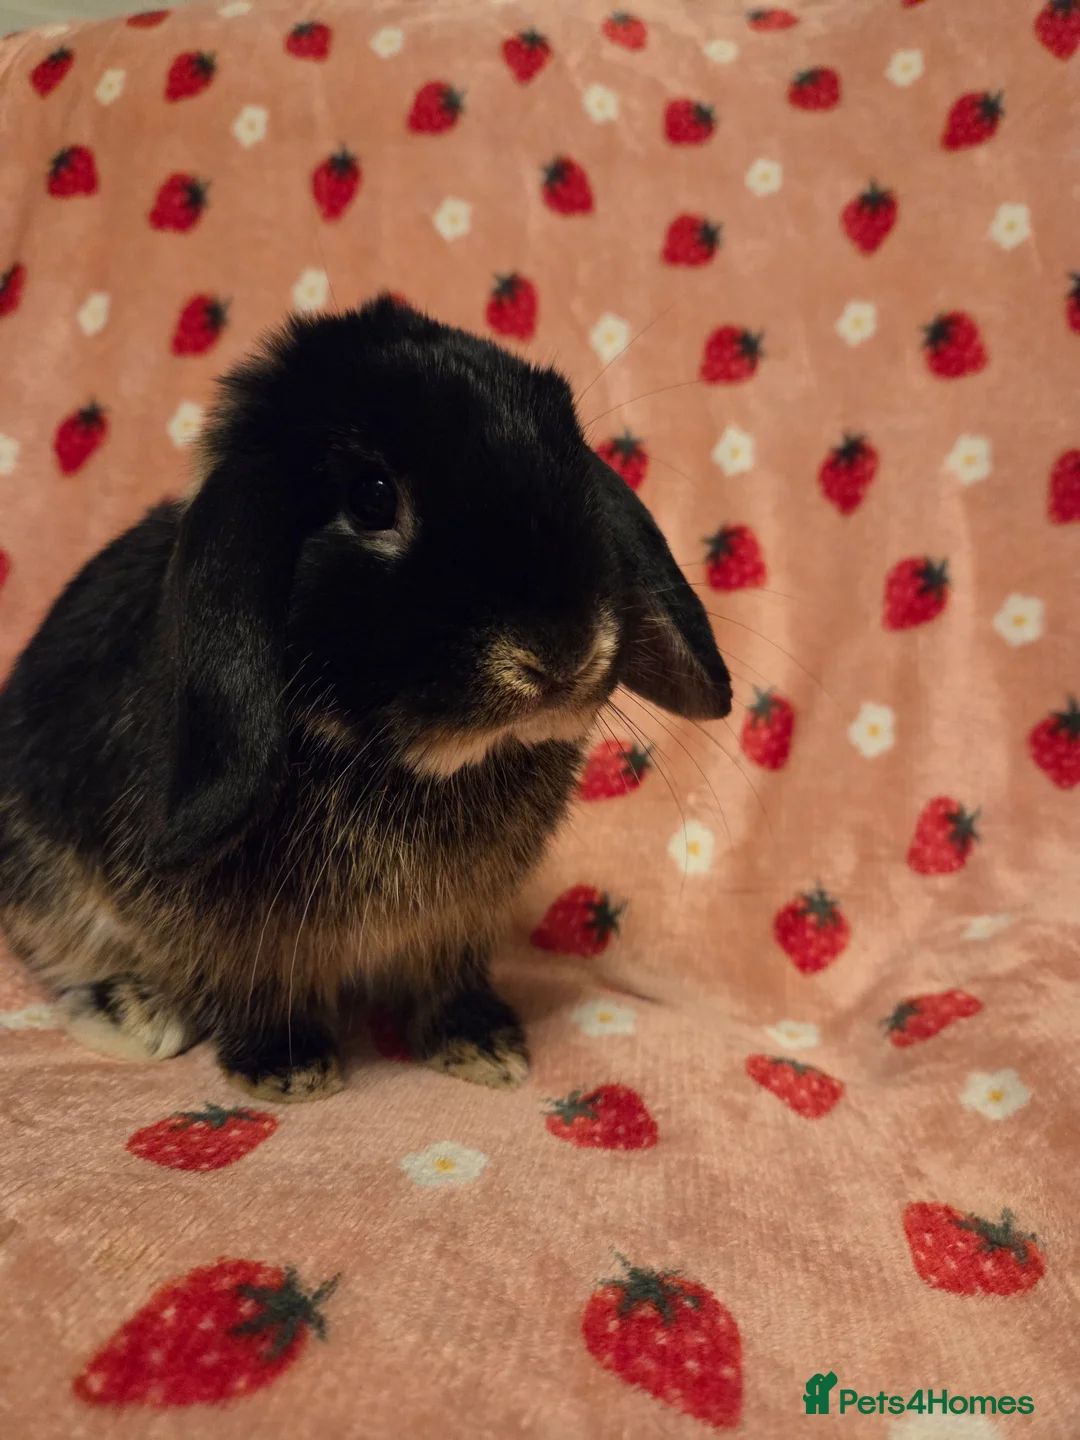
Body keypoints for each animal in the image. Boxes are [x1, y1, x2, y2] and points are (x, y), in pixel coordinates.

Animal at [0, 295, 732, 1102]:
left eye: (569, 454)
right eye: (372, 499)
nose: (564, 652)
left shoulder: (456, 927)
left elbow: (448, 980)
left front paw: (486, 1048)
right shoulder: (245, 937)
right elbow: (254, 985)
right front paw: (289, 1070)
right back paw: (129, 1011)